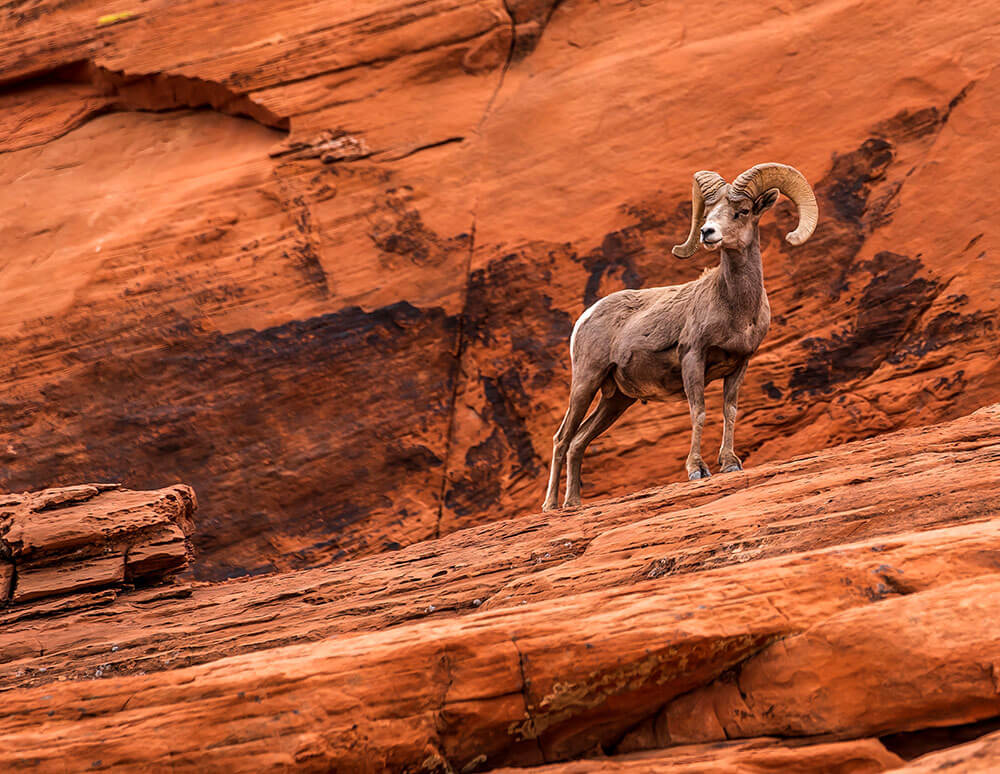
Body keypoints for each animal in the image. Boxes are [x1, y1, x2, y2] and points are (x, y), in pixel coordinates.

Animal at [543, 163, 818, 511]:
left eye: (741, 211)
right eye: (708, 213)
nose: (707, 233)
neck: (735, 307)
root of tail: (586, 316)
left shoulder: (740, 364)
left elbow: (729, 410)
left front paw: (730, 463)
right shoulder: (693, 358)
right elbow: (698, 412)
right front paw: (697, 470)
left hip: (616, 399)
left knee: (579, 440)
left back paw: (574, 503)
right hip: (586, 381)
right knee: (562, 438)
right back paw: (551, 506)